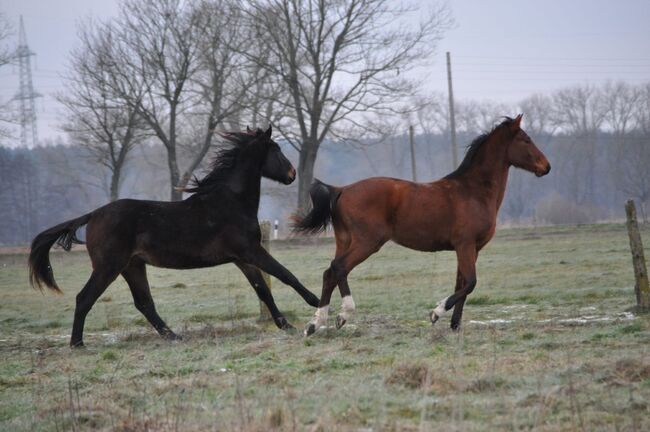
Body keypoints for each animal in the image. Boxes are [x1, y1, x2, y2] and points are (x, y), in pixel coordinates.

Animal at [30, 125, 318, 348]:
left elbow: (263, 290)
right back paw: (77, 343)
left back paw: (174, 336)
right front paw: (316, 303)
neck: (231, 202)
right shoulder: (251, 251)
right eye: (276, 150)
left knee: (144, 303)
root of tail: (93, 215)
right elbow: (286, 275)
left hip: (132, 266)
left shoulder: (242, 258)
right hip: (108, 266)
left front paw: (286, 325)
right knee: (85, 298)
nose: (292, 174)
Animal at [292, 115, 548, 338]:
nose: (546, 167)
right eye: (526, 139)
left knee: (330, 273)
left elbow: (463, 283)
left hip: (345, 240)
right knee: (339, 268)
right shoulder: (465, 245)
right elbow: (471, 282)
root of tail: (341, 189)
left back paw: (314, 324)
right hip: (367, 242)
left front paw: (455, 325)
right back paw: (343, 315)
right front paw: (436, 313)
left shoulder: (471, 248)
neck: (473, 191)